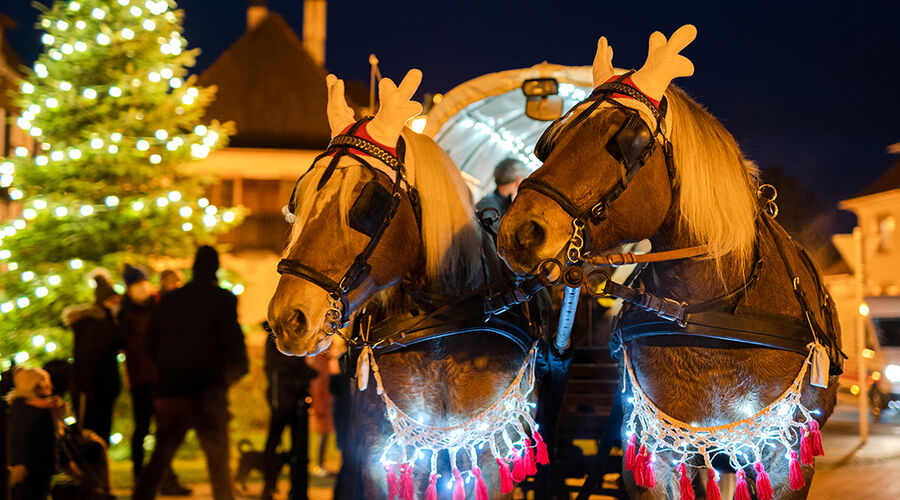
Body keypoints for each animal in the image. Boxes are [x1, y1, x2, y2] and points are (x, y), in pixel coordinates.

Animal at [270, 69, 544, 496]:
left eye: (368, 202)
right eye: (296, 201)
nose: (288, 318)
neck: (441, 330)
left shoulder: (486, 455)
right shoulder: (381, 457)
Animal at [500, 28, 844, 500]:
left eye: (625, 139)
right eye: (551, 138)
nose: (517, 233)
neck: (707, 314)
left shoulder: (782, 454)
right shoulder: (656, 452)